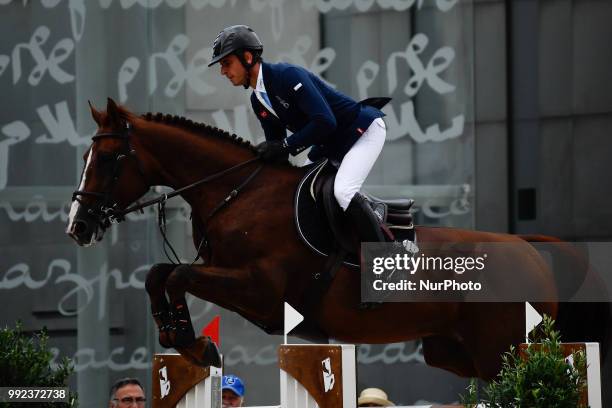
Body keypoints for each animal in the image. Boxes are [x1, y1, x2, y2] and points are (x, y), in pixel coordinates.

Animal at [65, 99, 608, 380]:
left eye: (109, 159)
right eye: (89, 157)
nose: (78, 226)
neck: (235, 192)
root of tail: (530, 247)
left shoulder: (259, 290)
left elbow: (175, 273)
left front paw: (194, 344)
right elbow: (159, 274)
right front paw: (179, 335)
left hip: (505, 349)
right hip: (459, 352)